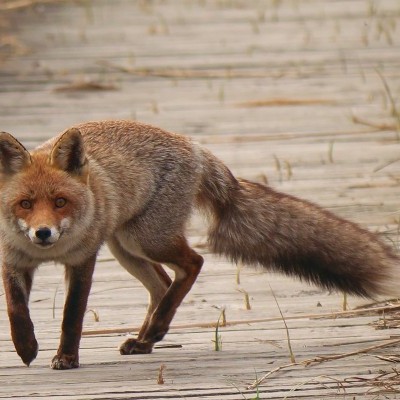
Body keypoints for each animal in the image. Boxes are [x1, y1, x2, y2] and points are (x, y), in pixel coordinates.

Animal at [0, 120, 398, 370]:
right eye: (25, 204)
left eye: (61, 202)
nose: (43, 234)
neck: (48, 254)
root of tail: (195, 146)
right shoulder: (12, 260)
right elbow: (16, 310)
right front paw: (26, 347)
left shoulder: (83, 261)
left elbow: (72, 316)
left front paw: (66, 358)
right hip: (125, 246)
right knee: (163, 284)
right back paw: (146, 339)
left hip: (145, 239)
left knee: (193, 264)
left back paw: (155, 331)